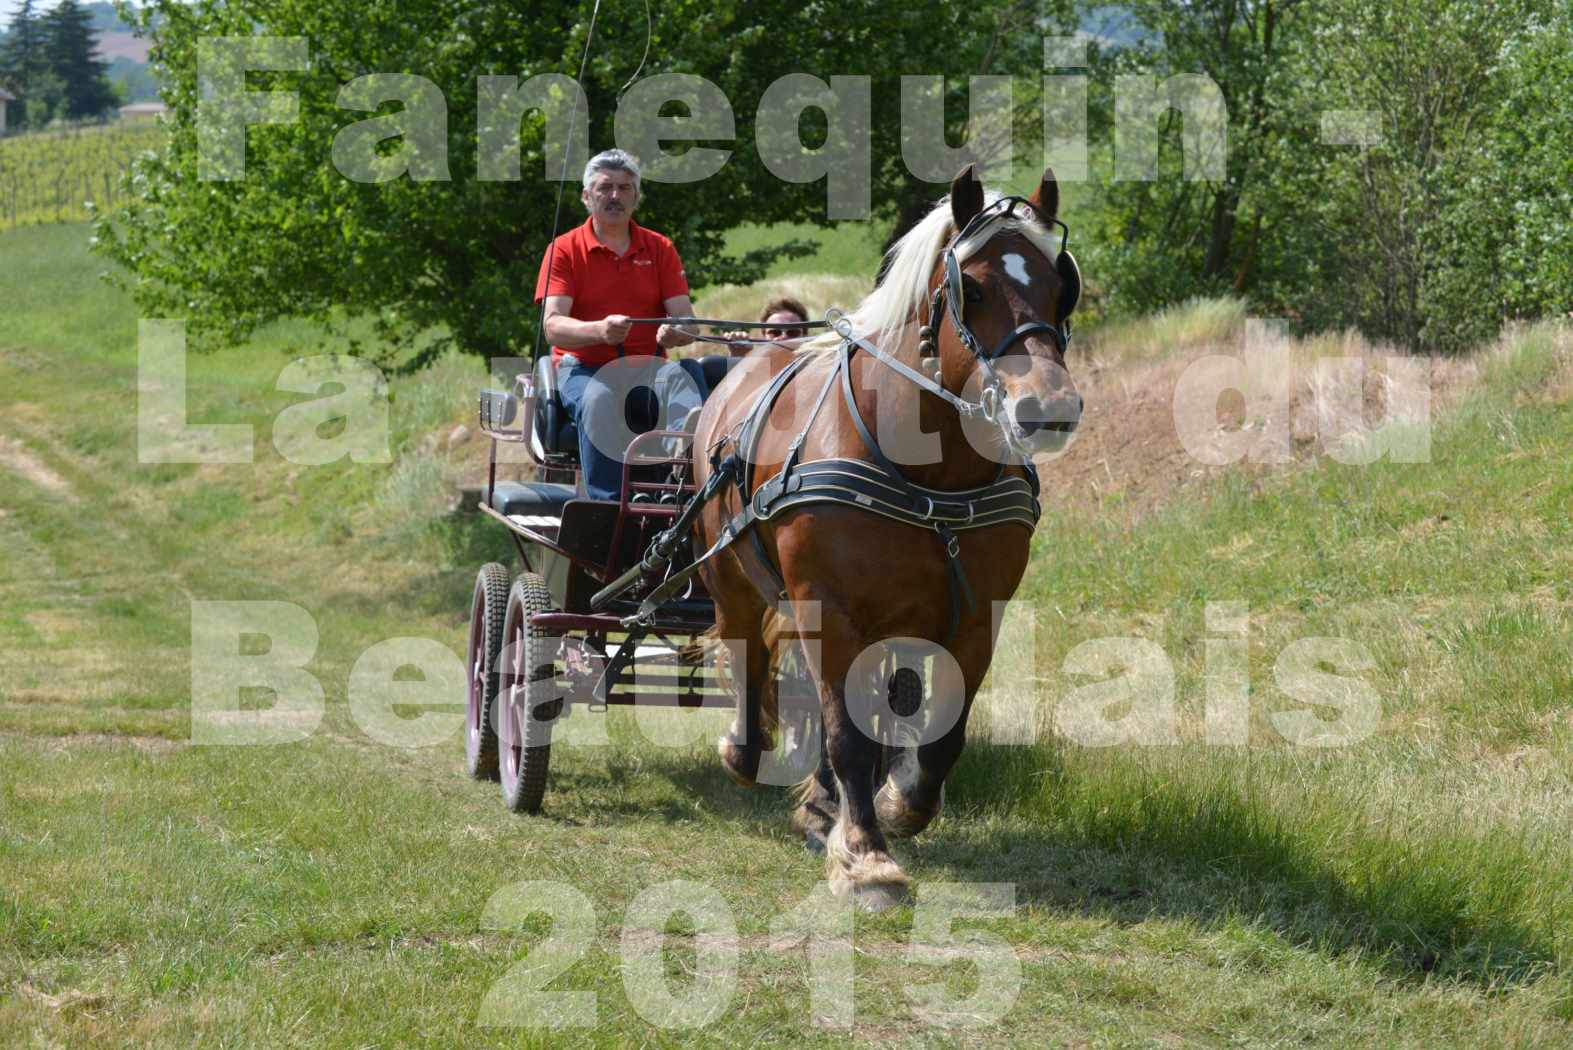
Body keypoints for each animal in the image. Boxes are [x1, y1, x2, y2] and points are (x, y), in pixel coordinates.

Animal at [695, 165, 1088, 911]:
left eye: (1062, 288)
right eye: (974, 288)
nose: (1046, 409)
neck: (928, 472)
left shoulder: (974, 617)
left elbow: (939, 734)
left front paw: (896, 806)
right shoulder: (825, 607)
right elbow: (845, 734)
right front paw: (868, 858)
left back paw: (826, 806)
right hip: (733, 575)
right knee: (747, 650)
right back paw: (746, 751)